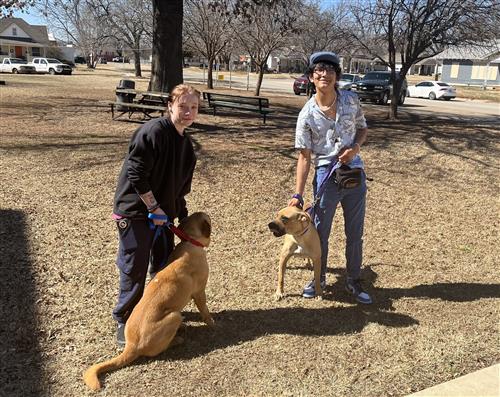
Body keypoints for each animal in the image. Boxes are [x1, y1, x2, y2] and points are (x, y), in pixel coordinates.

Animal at [82, 212, 215, 388]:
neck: (190, 241)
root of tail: (132, 346)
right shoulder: (199, 292)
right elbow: (205, 310)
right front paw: (212, 323)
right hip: (173, 316)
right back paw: (177, 339)